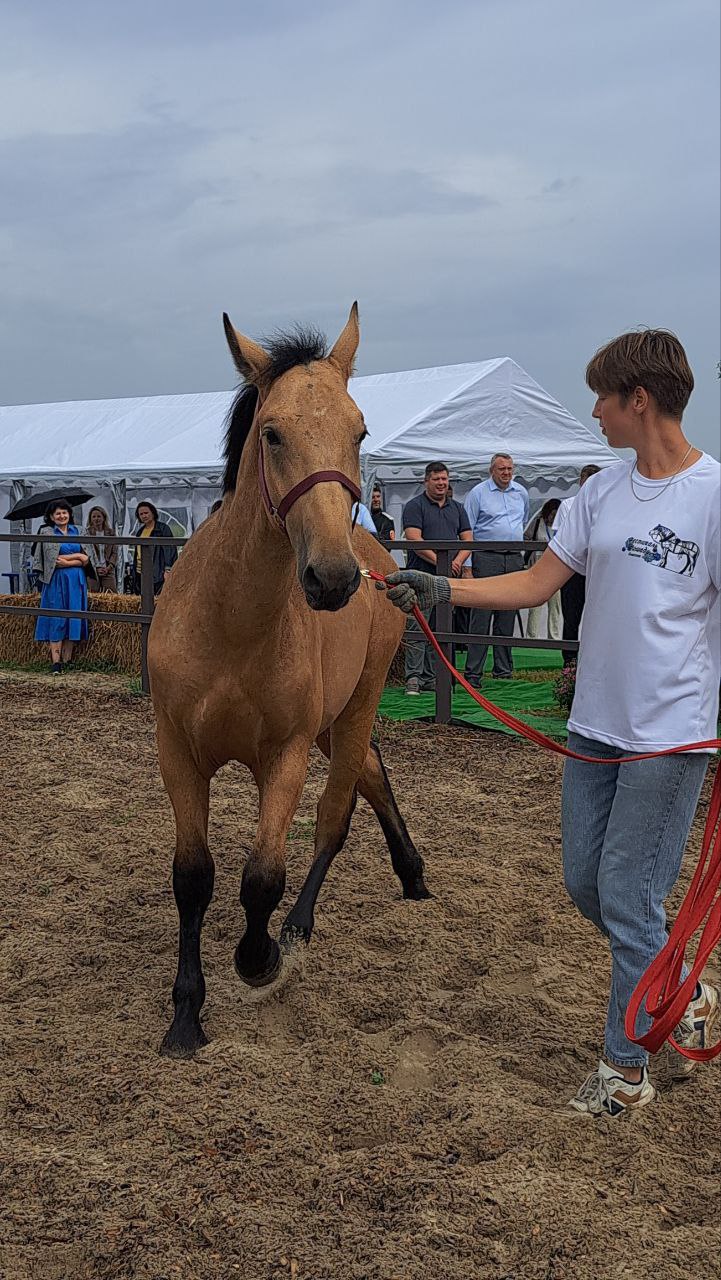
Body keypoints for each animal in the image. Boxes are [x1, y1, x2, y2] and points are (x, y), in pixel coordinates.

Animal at [147, 304, 427, 1054]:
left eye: (359, 431)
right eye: (271, 433)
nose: (330, 579)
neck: (231, 624)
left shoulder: (287, 754)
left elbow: (262, 878)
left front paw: (259, 957)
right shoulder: (178, 751)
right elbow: (193, 876)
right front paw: (185, 1016)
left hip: (353, 711)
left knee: (336, 814)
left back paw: (299, 929)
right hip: (335, 725)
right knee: (372, 775)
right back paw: (412, 875)